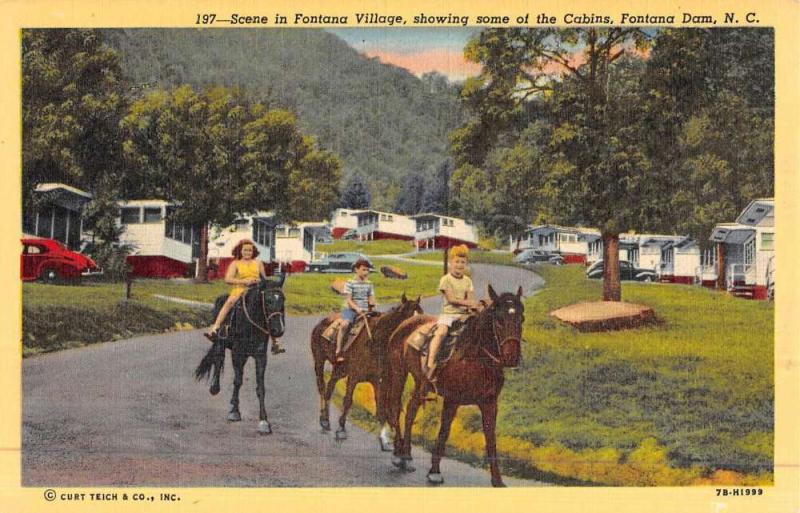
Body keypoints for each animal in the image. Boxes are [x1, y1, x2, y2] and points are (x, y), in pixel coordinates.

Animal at [195, 274, 288, 434]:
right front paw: (234, 412)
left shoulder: (260, 356)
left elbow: (260, 387)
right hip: (220, 342)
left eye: (283, 299)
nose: (278, 330)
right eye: (268, 300)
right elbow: (237, 381)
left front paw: (264, 421)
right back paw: (214, 388)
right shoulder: (237, 353)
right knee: (219, 359)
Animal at [312, 294, 424, 446]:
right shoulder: (353, 377)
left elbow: (380, 408)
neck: (375, 341)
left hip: (340, 370)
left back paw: (326, 421)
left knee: (329, 388)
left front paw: (385, 439)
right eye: (409, 319)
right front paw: (341, 429)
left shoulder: (378, 381)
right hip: (319, 361)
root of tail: (321, 323)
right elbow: (348, 401)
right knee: (322, 388)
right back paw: (323, 420)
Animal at [382, 286, 520, 486]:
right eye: (499, 320)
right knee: (395, 407)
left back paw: (406, 455)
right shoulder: (452, 399)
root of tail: (406, 323)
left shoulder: (489, 403)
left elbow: (490, 438)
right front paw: (434, 472)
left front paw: (497, 480)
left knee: (410, 411)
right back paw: (399, 454)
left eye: (521, 318)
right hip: (399, 373)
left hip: (420, 382)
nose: (512, 357)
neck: (473, 356)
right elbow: (444, 432)